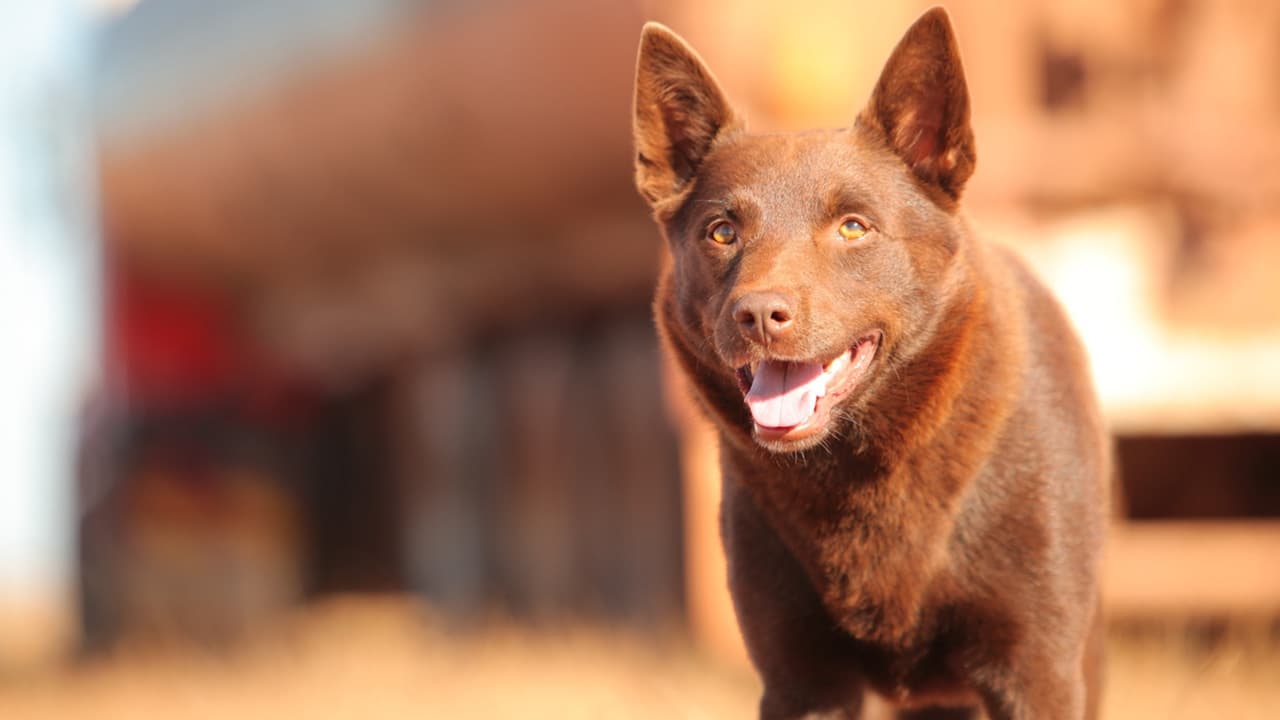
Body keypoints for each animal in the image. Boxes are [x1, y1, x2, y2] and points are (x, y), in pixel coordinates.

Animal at [632, 7, 1111, 717]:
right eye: (722, 232)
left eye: (853, 227)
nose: (758, 315)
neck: (861, 468)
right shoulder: (802, 680)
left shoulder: (1038, 673)